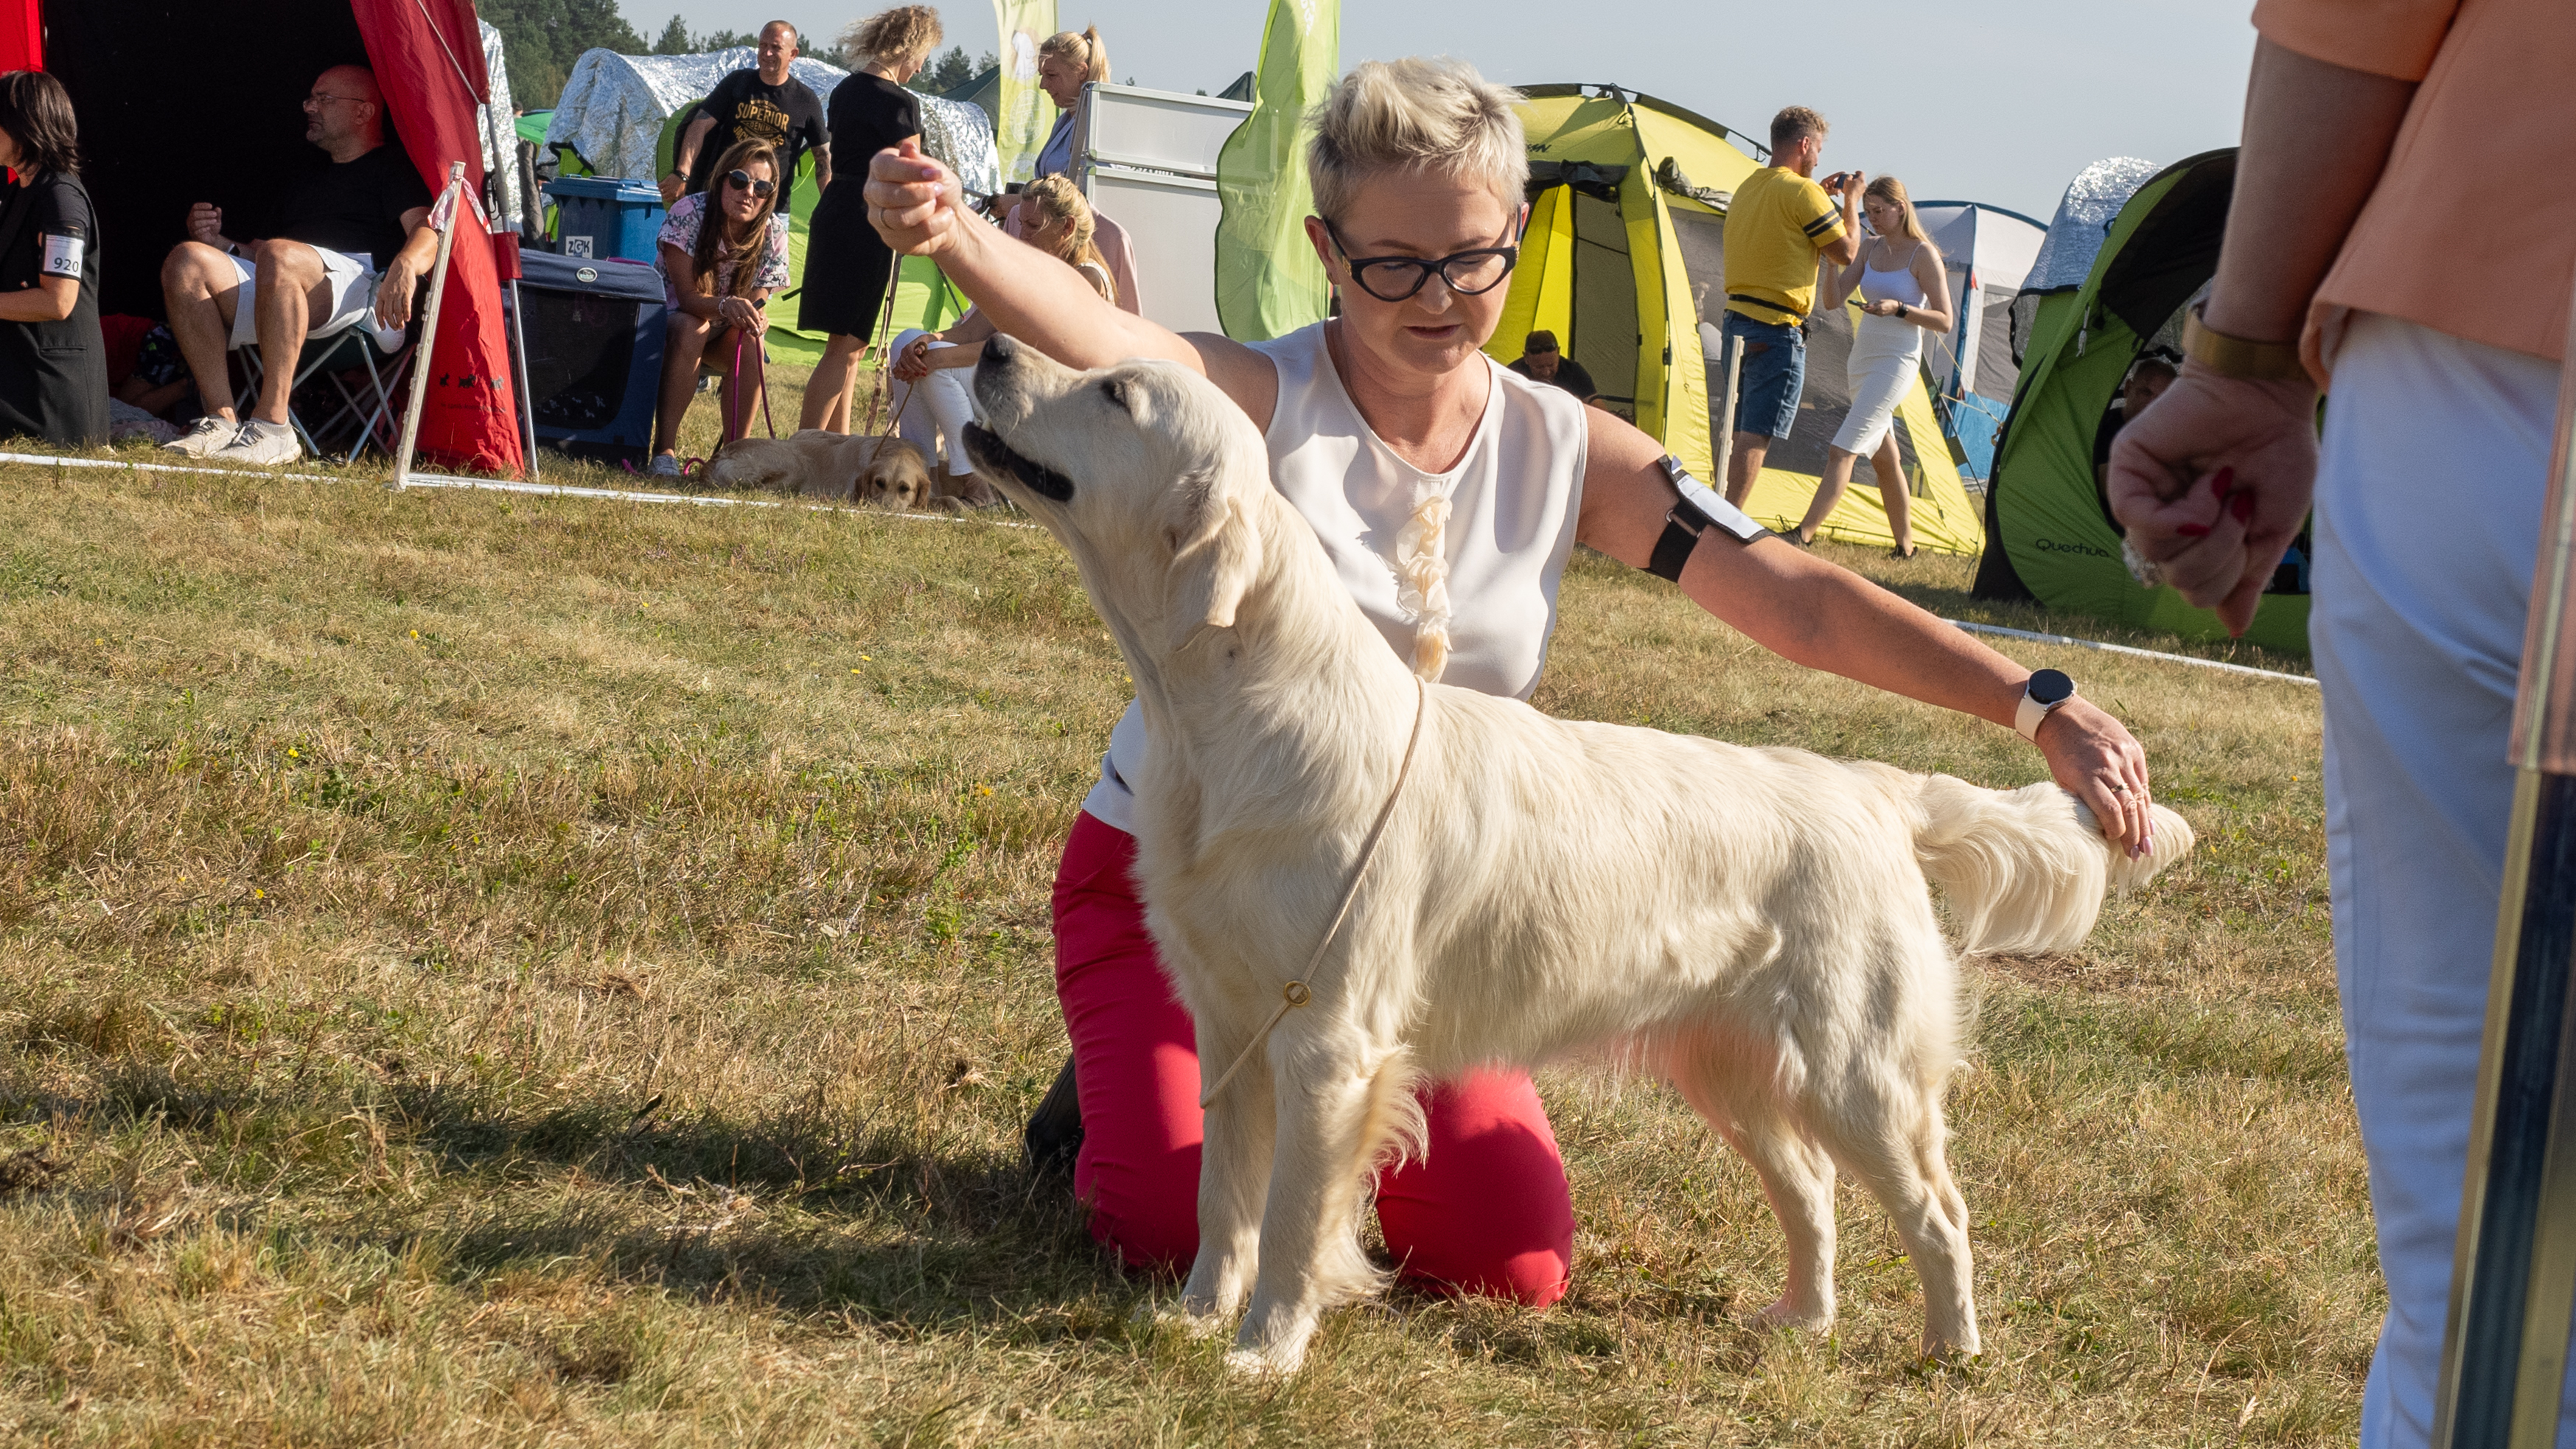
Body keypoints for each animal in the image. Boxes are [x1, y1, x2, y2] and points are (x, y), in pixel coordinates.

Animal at [968, 334, 2194, 1379]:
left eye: (1116, 394)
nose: (984, 348)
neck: (1227, 713)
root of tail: (1869, 787)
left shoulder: (1329, 1043)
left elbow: (1286, 1221)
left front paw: (1264, 1352)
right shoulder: (1229, 1027)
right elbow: (1220, 1201)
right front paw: (1190, 1319)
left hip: (1858, 1069)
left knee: (1934, 1209)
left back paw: (1949, 1348)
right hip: (1735, 1068)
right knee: (1809, 1191)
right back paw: (1799, 1316)